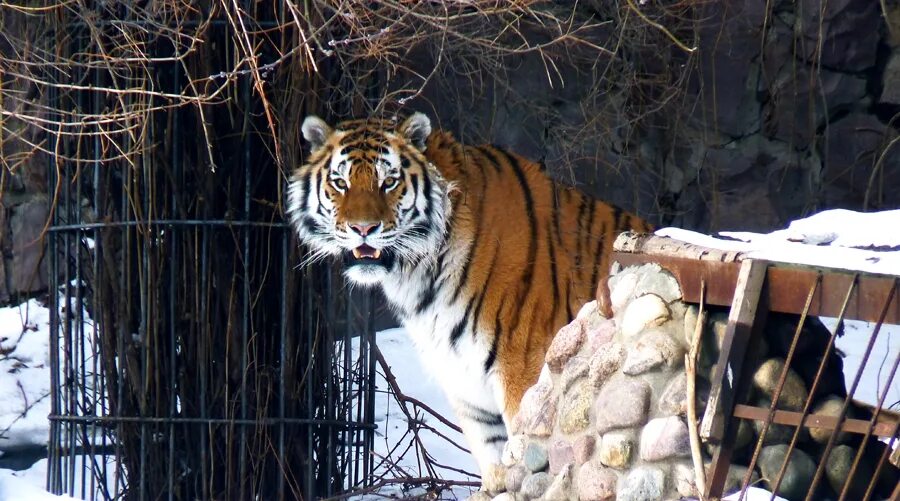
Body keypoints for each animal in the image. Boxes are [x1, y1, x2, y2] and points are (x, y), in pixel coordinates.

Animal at [288, 113, 652, 476]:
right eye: (341, 183)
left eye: (388, 182)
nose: (362, 229)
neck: (422, 279)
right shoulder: (470, 393)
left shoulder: (524, 374)